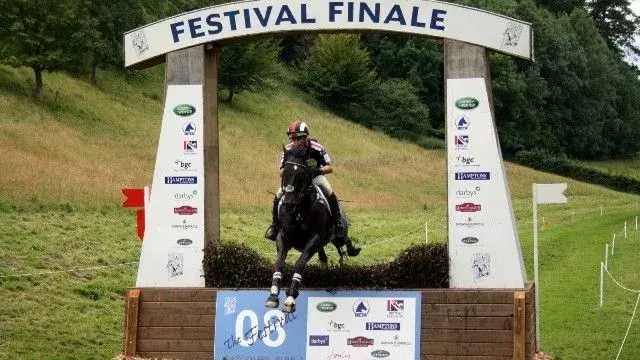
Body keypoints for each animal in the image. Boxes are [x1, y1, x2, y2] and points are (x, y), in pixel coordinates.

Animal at [264, 146, 356, 312]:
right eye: (285, 172)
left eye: (302, 174)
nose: (289, 203)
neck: (298, 211)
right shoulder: (283, 237)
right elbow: (279, 262)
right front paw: (273, 295)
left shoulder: (313, 239)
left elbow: (300, 263)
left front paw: (290, 297)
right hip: (321, 244)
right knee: (324, 258)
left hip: (337, 235)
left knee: (344, 240)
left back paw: (353, 249)